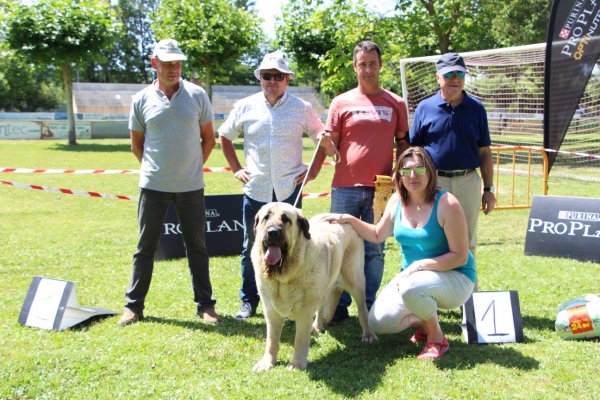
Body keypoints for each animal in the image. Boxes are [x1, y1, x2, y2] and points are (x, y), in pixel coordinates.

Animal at [251, 203, 378, 372]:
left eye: (286, 219)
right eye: (266, 217)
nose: (272, 232)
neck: (283, 277)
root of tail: (341, 217)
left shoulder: (304, 311)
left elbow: (299, 339)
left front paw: (297, 363)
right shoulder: (271, 311)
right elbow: (271, 340)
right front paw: (267, 362)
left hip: (355, 280)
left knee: (363, 310)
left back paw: (368, 334)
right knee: (321, 307)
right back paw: (317, 326)